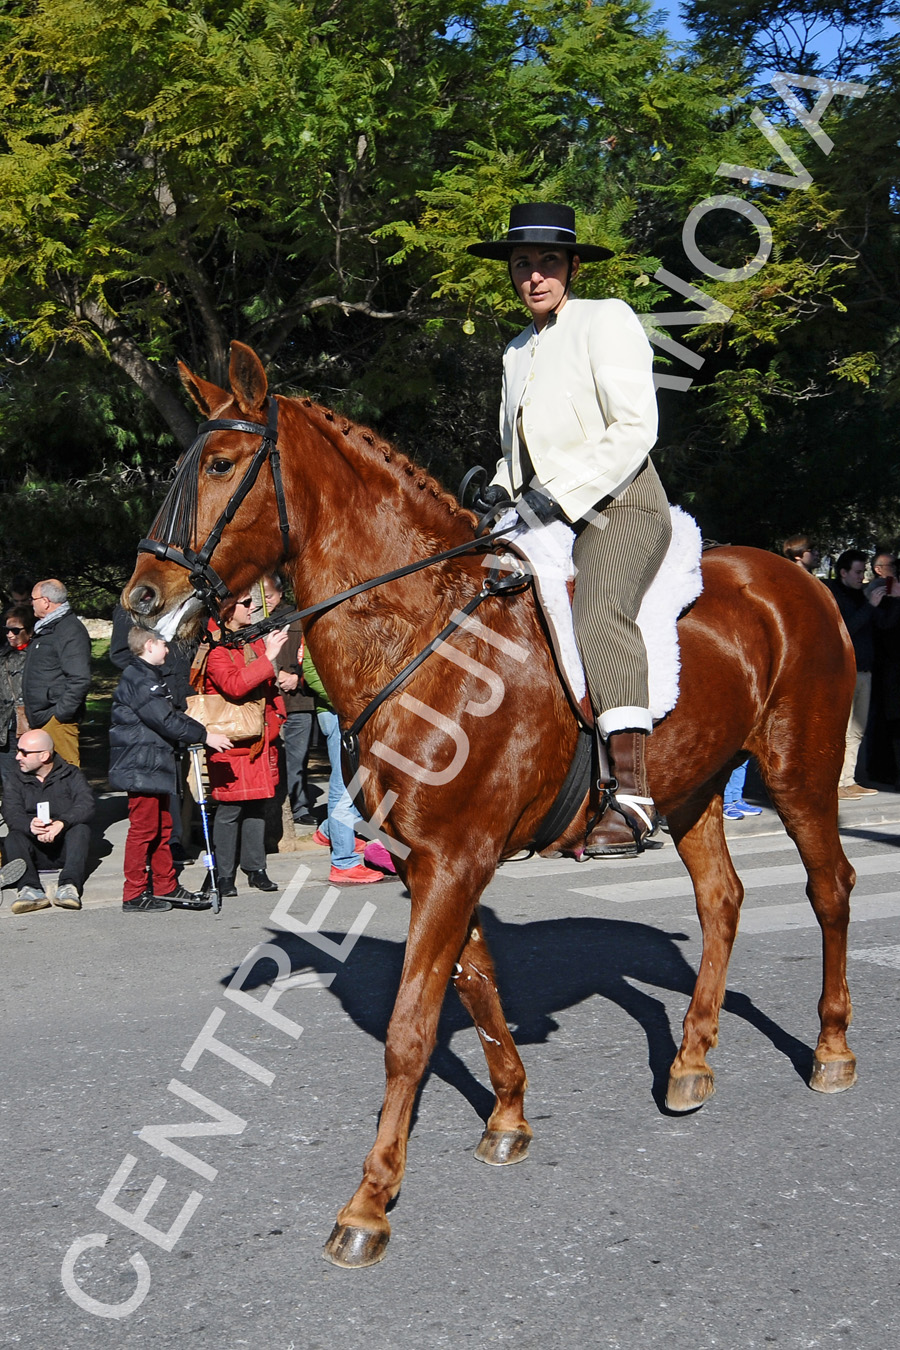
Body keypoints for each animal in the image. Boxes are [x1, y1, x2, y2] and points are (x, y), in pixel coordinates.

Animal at [124, 340, 858, 1263]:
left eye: (221, 464)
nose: (140, 599)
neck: (424, 633)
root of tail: (794, 575)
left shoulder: (454, 860)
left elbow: (411, 1026)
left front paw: (369, 1203)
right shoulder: (431, 862)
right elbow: (474, 983)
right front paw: (508, 1115)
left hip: (800, 773)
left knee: (829, 889)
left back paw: (831, 1049)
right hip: (694, 788)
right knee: (721, 901)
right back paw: (690, 1061)